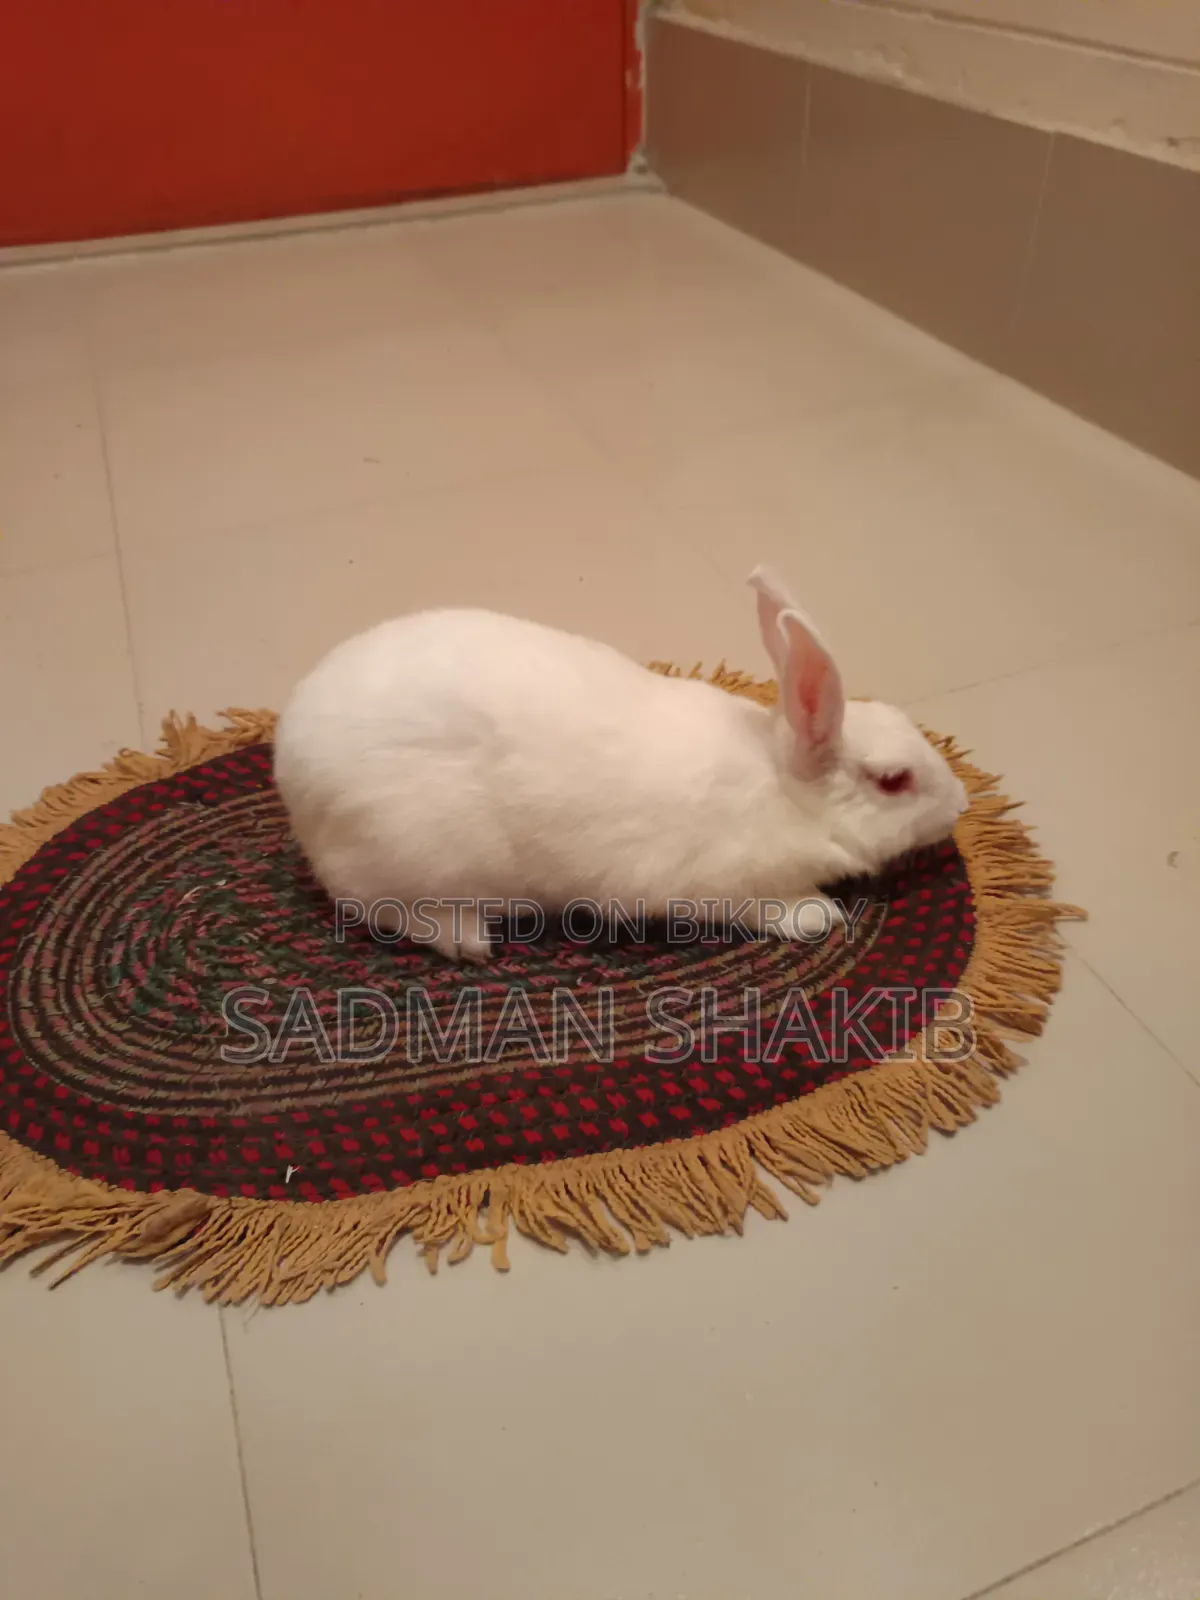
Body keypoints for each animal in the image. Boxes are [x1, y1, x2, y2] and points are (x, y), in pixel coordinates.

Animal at [273, 566, 968, 961]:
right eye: (894, 780)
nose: (961, 804)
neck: (779, 784)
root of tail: (292, 767)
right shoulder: (719, 885)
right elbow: (765, 907)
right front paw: (815, 915)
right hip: (403, 858)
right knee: (375, 908)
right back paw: (470, 939)